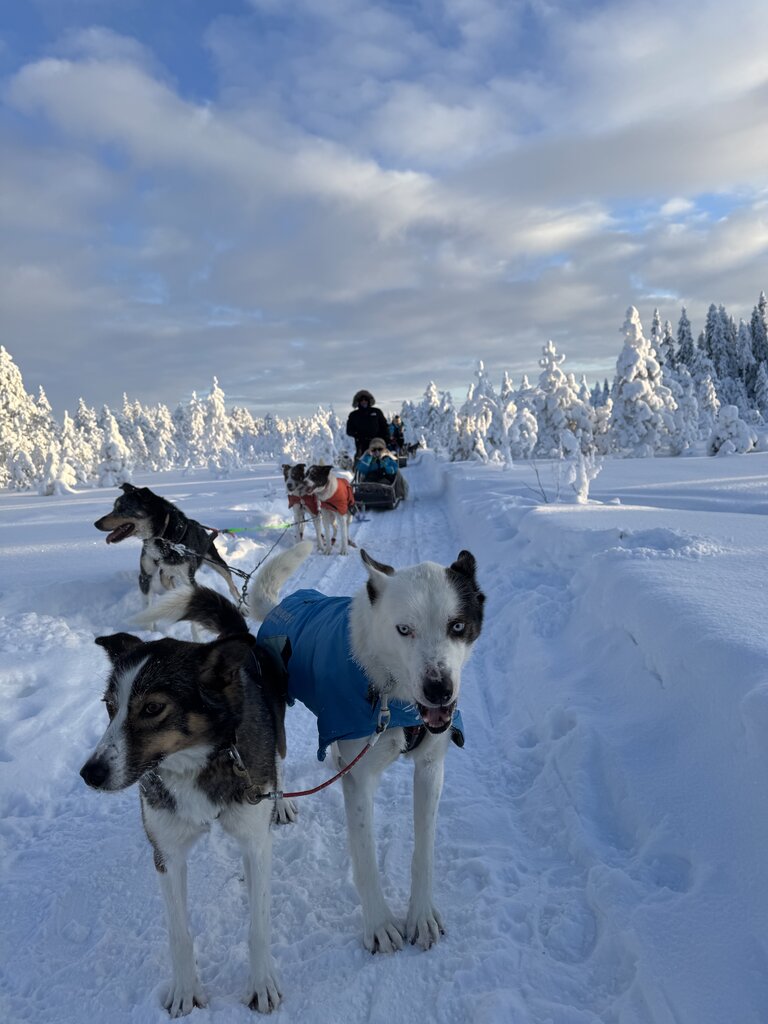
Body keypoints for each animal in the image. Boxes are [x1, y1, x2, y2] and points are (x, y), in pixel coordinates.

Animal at [79, 585, 291, 1016]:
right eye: (109, 706)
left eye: (152, 708)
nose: (91, 772)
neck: (195, 763)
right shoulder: (167, 854)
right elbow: (179, 934)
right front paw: (184, 991)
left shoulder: (255, 842)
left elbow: (258, 924)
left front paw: (262, 983)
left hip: (276, 737)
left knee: (280, 761)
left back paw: (281, 802)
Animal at [94, 483, 241, 608]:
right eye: (114, 507)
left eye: (122, 508)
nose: (96, 524)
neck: (163, 537)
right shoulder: (145, 576)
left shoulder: (188, 579)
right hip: (165, 573)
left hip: (217, 563)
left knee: (232, 585)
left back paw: (242, 605)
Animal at [249, 540, 485, 953]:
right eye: (404, 629)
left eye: (457, 626)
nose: (439, 689)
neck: (395, 697)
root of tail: (280, 607)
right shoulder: (360, 780)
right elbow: (364, 858)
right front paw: (379, 924)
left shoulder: (430, 769)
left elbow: (424, 850)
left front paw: (421, 915)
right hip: (275, 713)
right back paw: (281, 804)